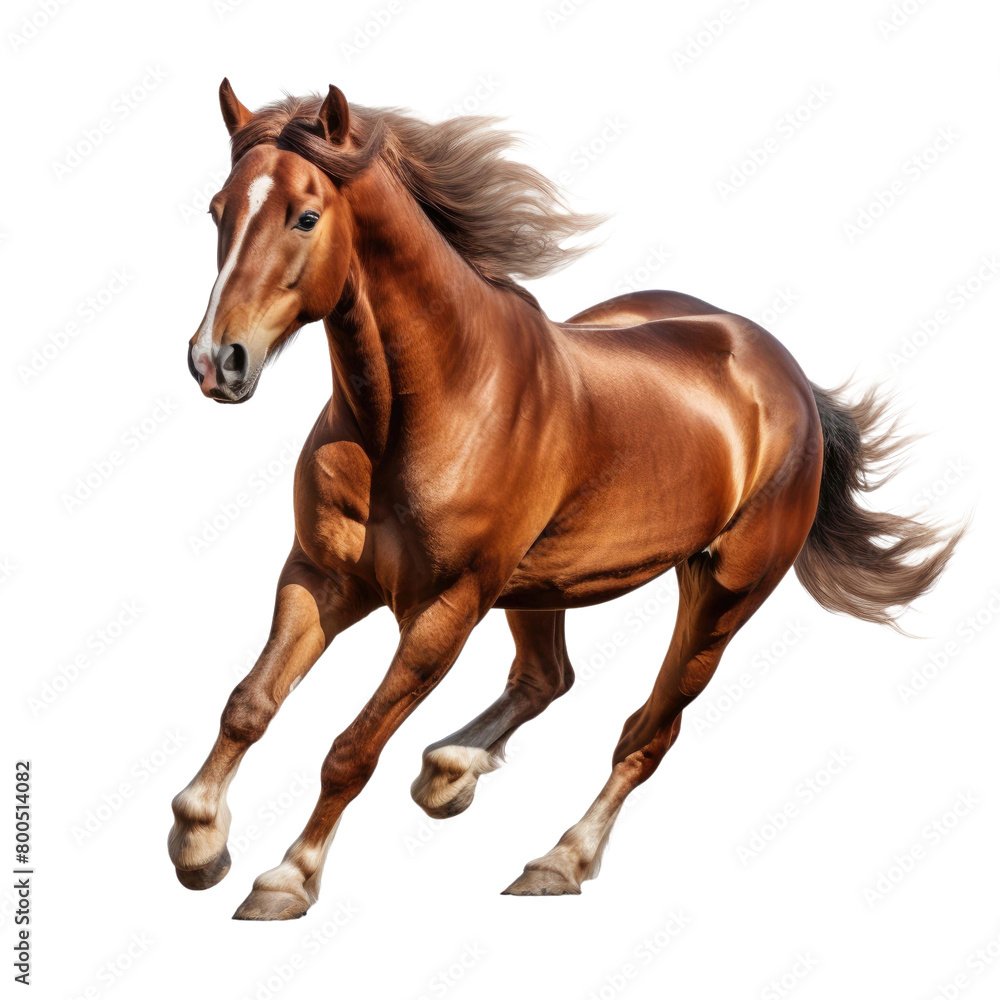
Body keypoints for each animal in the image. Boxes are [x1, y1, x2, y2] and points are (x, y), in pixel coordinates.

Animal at [168, 80, 962, 920]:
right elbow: (249, 703)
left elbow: (353, 749)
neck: (426, 405)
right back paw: (449, 771)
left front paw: (286, 878)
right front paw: (199, 842)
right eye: (218, 210)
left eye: (306, 216)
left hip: (720, 596)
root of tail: (788, 376)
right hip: (540, 584)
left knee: (647, 733)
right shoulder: (320, 577)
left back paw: (556, 860)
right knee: (547, 677)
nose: (216, 361)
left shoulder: (445, 610)